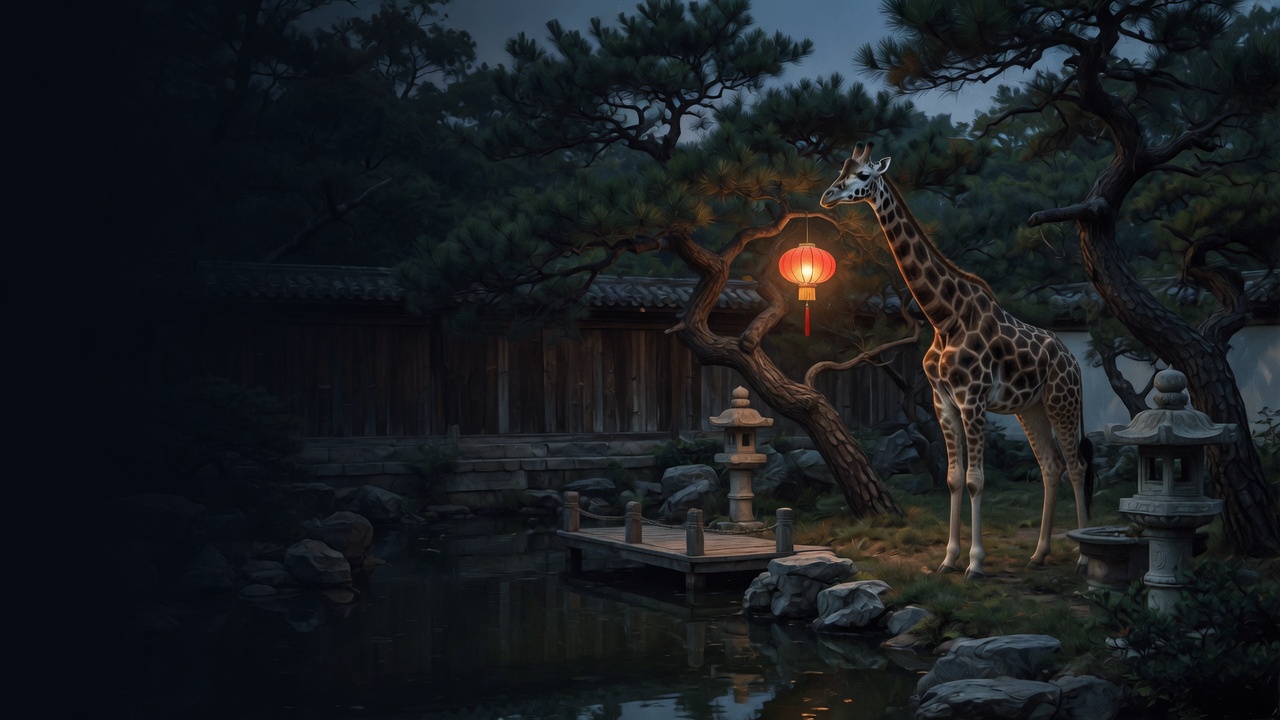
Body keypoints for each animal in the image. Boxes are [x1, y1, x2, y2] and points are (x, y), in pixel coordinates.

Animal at [820, 142, 1093, 578]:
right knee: (1051, 466)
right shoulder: (943, 401)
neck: (944, 317)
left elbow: (977, 480)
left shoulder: (973, 400)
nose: (827, 196)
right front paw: (948, 559)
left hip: (1061, 402)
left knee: (1076, 465)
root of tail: (1075, 361)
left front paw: (975, 563)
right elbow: (952, 478)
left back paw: (1083, 556)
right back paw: (1038, 554)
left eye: (863, 175)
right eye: (841, 170)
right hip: (1030, 407)